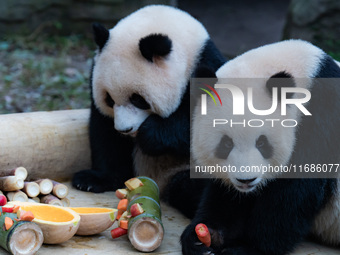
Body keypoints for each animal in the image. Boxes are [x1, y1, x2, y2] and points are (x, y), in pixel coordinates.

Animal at [71, 4, 226, 217]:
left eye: (138, 99)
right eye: (109, 99)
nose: (125, 130)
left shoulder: (208, 66)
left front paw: (151, 134)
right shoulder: (95, 74)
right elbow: (105, 132)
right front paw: (93, 180)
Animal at [182, 38, 340, 254]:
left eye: (262, 142)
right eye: (226, 144)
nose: (246, 180)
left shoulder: (320, 122)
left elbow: (292, 196)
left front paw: (249, 248)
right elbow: (227, 196)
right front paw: (204, 237)